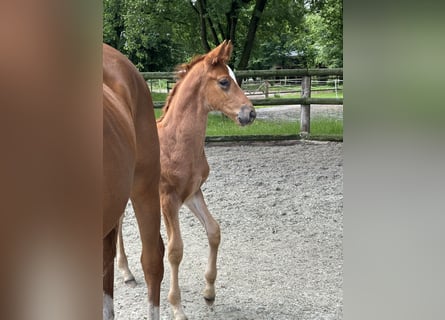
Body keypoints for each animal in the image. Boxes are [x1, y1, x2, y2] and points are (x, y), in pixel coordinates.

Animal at [116, 41, 255, 318]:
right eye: (224, 82)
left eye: (235, 78)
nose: (250, 113)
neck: (176, 142)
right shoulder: (167, 200)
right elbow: (175, 250)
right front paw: (177, 306)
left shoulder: (192, 194)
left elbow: (214, 231)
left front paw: (209, 293)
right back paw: (125, 272)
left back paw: (126, 272)